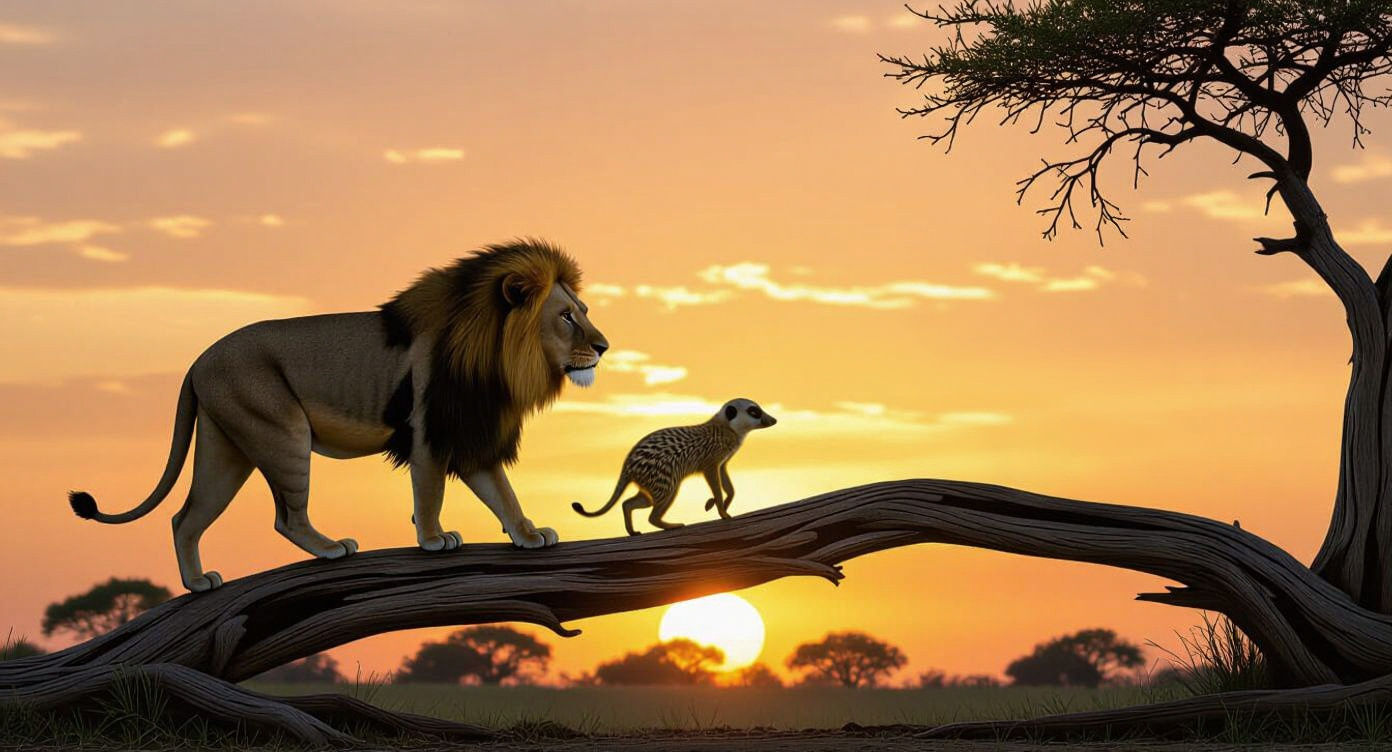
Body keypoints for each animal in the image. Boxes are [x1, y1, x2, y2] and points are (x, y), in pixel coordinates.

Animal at [69, 240, 609, 592]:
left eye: (583, 310)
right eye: (566, 316)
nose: (604, 346)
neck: (499, 360)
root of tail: (198, 360)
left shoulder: (467, 433)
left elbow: (503, 494)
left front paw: (529, 535)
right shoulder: (429, 433)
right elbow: (430, 492)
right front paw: (433, 539)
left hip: (226, 450)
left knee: (185, 517)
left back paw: (198, 582)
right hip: (282, 433)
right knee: (286, 518)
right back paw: (331, 548)